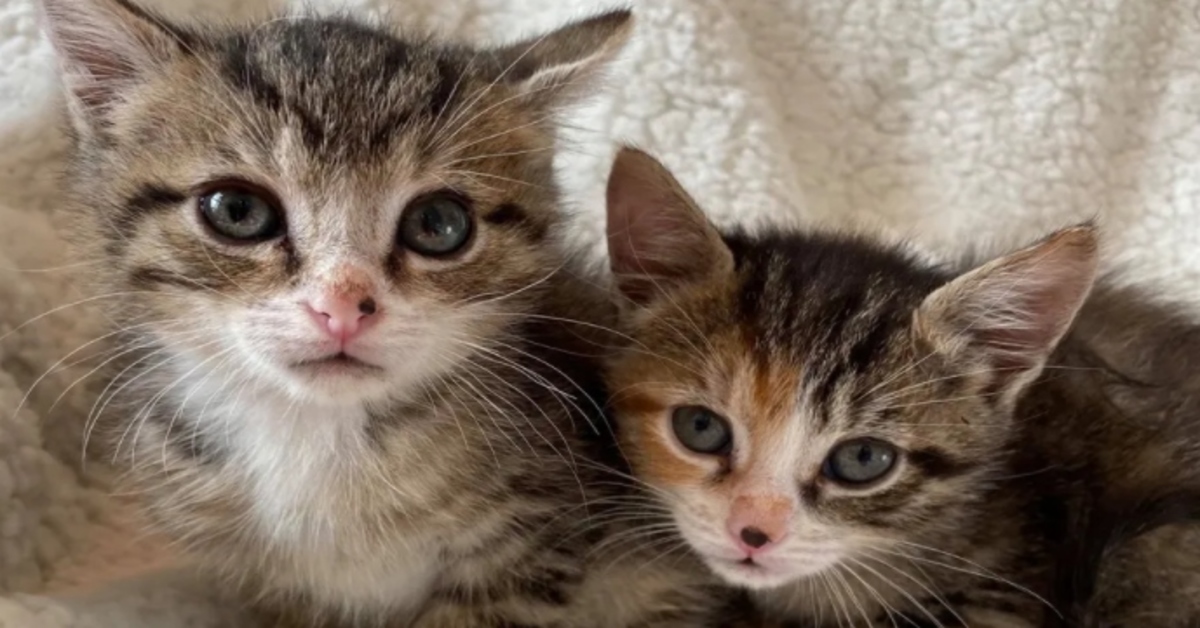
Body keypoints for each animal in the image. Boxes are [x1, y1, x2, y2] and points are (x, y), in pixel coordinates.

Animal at [42, 1, 734, 624]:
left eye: (439, 224)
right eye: (237, 210)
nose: (343, 306)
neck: (320, 444)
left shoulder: (528, 547)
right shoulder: (275, 585)